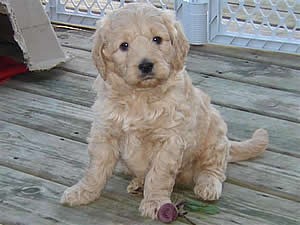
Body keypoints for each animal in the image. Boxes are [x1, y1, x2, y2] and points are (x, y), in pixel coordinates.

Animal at [61, 3, 270, 220]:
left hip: (214, 135)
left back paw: (208, 185)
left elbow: (159, 174)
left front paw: (155, 202)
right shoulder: (104, 132)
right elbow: (95, 169)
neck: (139, 96)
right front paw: (83, 192)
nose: (146, 65)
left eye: (157, 39)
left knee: (214, 168)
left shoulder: (169, 140)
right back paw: (138, 183)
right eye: (124, 45)